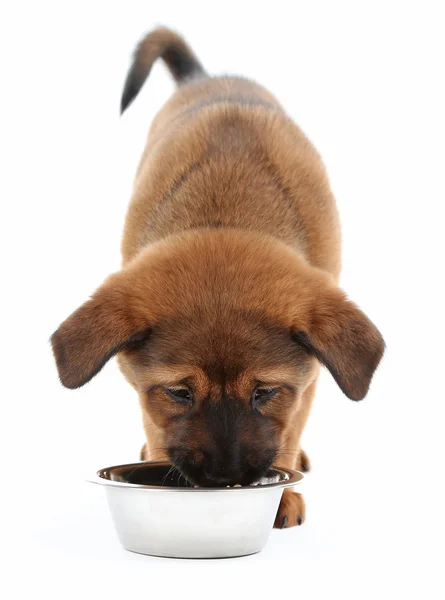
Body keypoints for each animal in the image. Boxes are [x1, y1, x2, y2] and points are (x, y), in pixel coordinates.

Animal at [52, 28, 384, 528]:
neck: (227, 211)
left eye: (264, 391)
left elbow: (290, 427)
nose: (226, 477)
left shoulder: (305, 381)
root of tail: (204, 77)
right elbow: (155, 421)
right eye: (178, 392)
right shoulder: (147, 391)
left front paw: (283, 492)